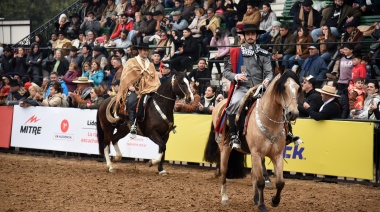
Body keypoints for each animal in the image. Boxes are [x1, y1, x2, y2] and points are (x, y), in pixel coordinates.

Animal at [203, 70, 302, 211]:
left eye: (298, 88)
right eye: (283, 88)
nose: (293, 113)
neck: (269, 122)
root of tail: (221, 104)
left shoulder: (277, 155)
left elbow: (280, 182)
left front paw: (274, 201)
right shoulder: (256, 153)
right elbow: (260, 181)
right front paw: (262, 205)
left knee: (253, 173)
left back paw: (255, 198)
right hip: (225, 148)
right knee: (224, 171)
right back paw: (225, 197)